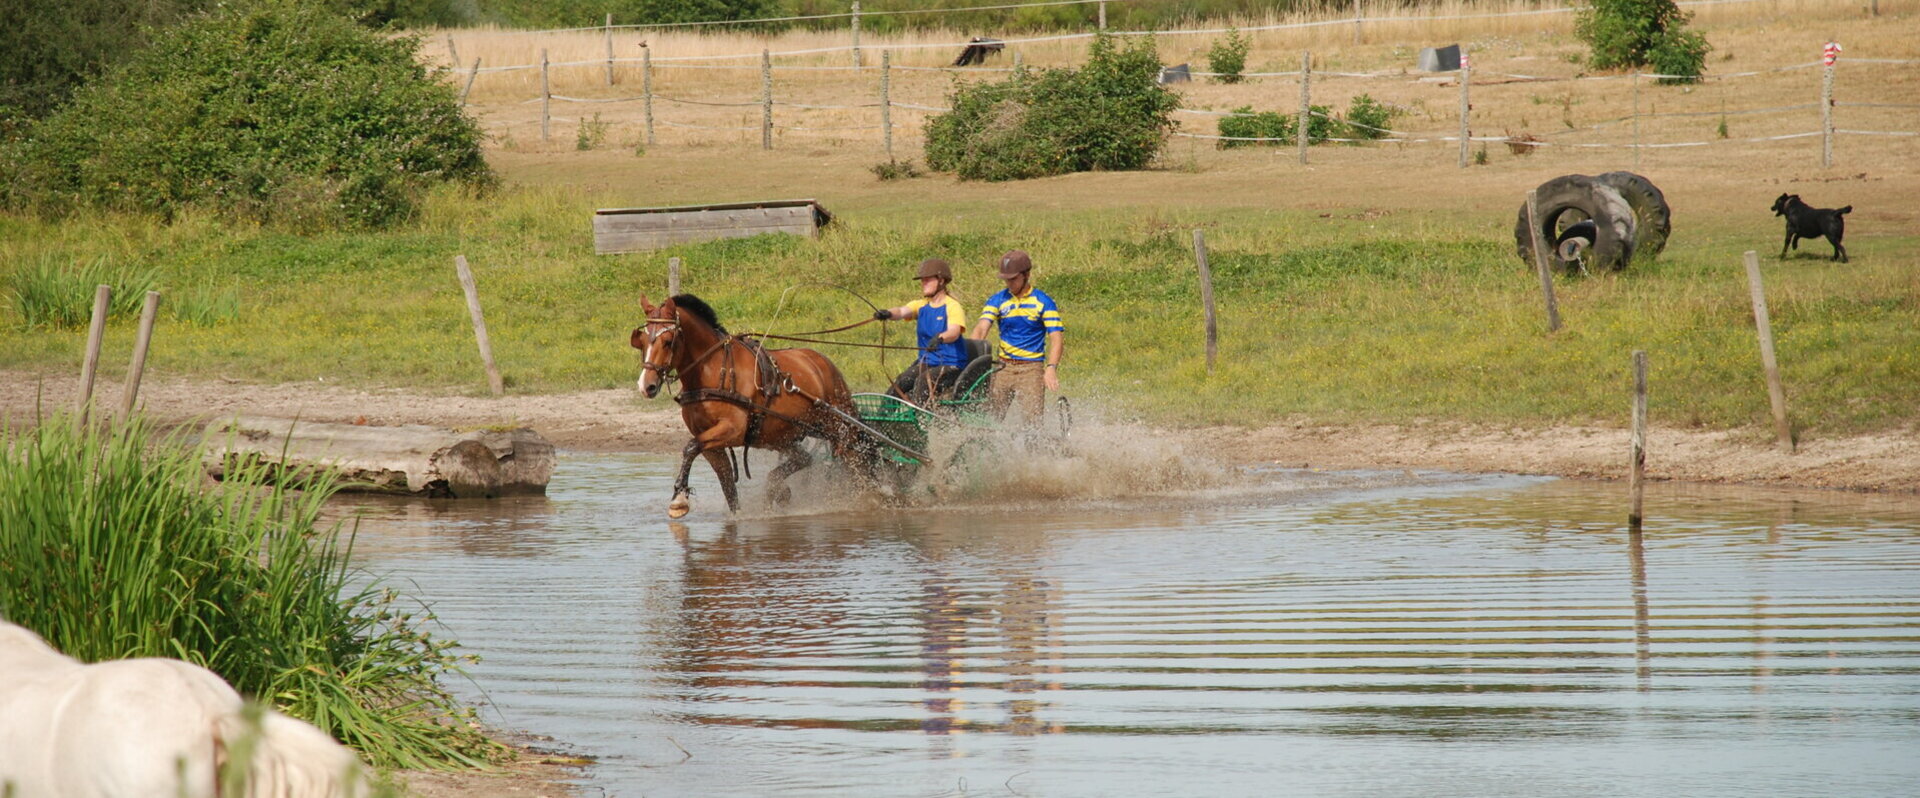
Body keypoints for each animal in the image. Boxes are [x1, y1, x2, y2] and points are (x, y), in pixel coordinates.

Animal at [629, 293, 871, 517]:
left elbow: (690, 447)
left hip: (839, 429)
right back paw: (778, 490)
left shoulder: (732, 429)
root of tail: (824, 364)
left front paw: (679, 499)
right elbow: (726, 485)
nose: (646, 386)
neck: (713, 371)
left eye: (668, 341)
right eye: (641, 342)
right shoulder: (711, 444)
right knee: (804, 458)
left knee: (856, 461)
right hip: (781, 435)